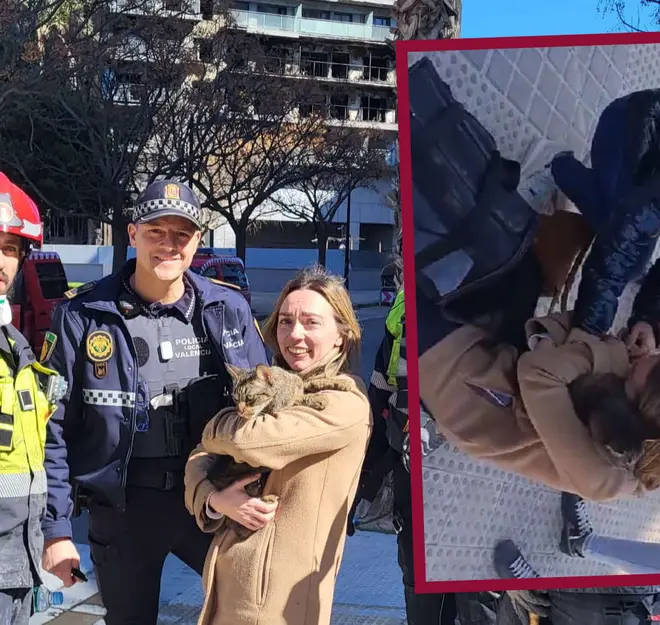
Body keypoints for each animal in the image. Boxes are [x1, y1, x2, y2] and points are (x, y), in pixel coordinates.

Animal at [208, 364, 354, 540]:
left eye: (250, 398)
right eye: (235, 399)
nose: (239, 412)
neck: (280, 388)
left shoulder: (299, 383)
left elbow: (311, 381)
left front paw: (341, 382)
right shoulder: (279, 410)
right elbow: (298, 399)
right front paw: (317, 399)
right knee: (240, 522)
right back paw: (266, 499)